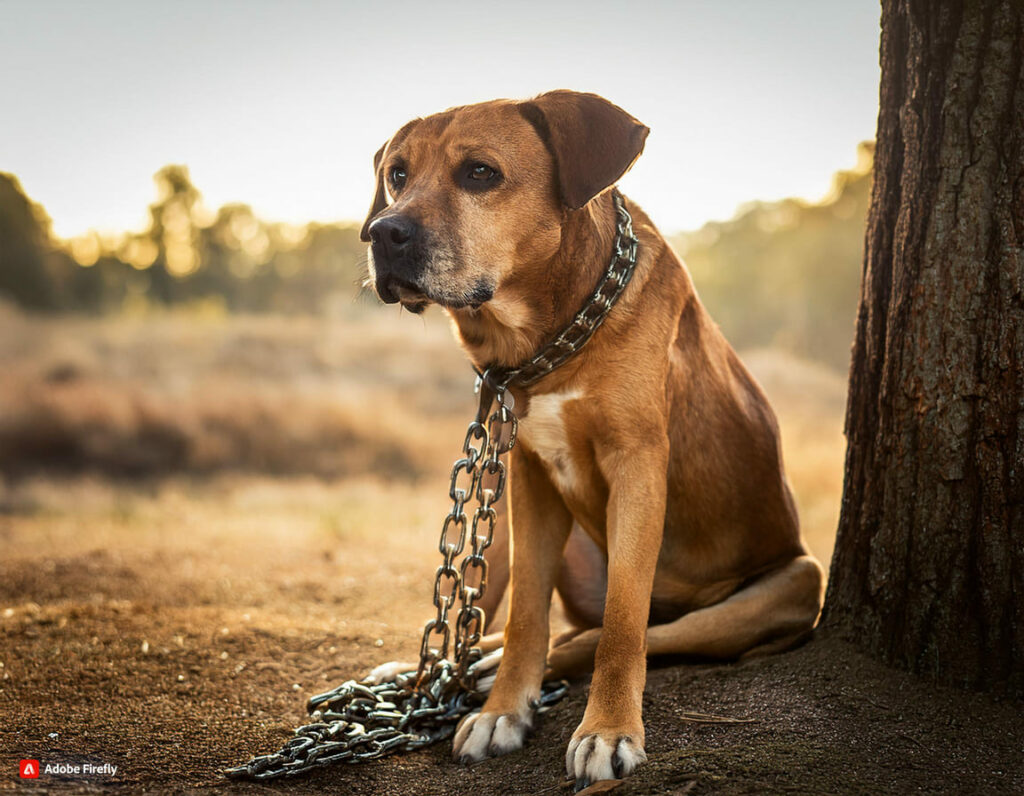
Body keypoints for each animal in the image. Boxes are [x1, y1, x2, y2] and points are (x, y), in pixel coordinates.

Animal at [360, 91, 823, 786]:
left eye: (480, 173)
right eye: (397, 175)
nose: (381, 233)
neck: (552, 337)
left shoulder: (636, 468)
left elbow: (621, 624)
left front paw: (607, 731)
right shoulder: (526, 472)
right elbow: (526, 612)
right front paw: (504, 712)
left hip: (795, 579)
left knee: (618, 633)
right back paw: (441, 672)